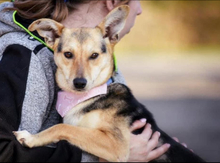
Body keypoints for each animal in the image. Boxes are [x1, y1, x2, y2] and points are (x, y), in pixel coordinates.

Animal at [13, 4, 205, 162]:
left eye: (94, 55)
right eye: (68, 54)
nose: (80, 83)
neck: (87, 98)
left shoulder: (116, 144)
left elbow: (63, 128)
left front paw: (31, 138)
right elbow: (67, 128)